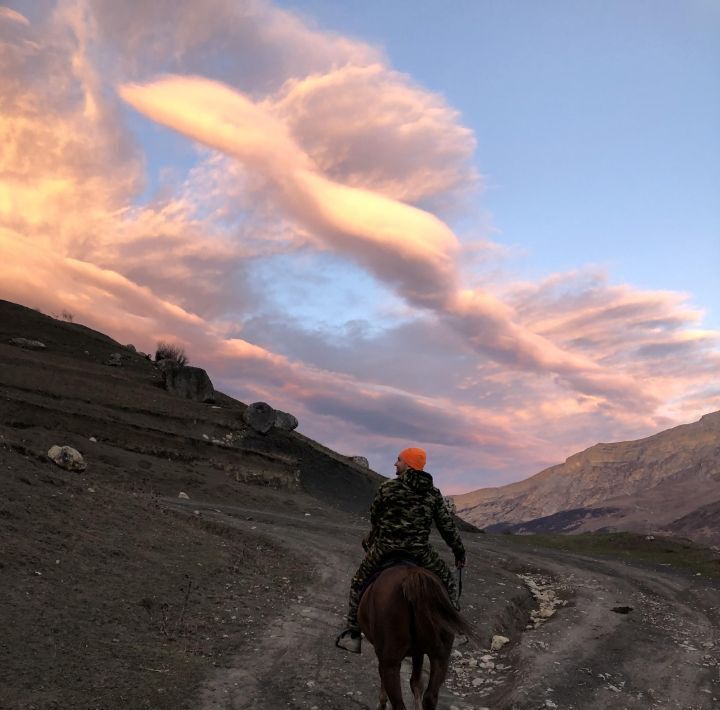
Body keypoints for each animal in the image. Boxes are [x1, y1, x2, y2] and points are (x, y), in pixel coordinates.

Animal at [358, 568, 472, 710]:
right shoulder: (419, 652)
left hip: (391, 661)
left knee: (398, 703)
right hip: (441, 656)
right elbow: (417, 683)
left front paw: (382, 703)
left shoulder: (384, 655)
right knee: (430, 697)